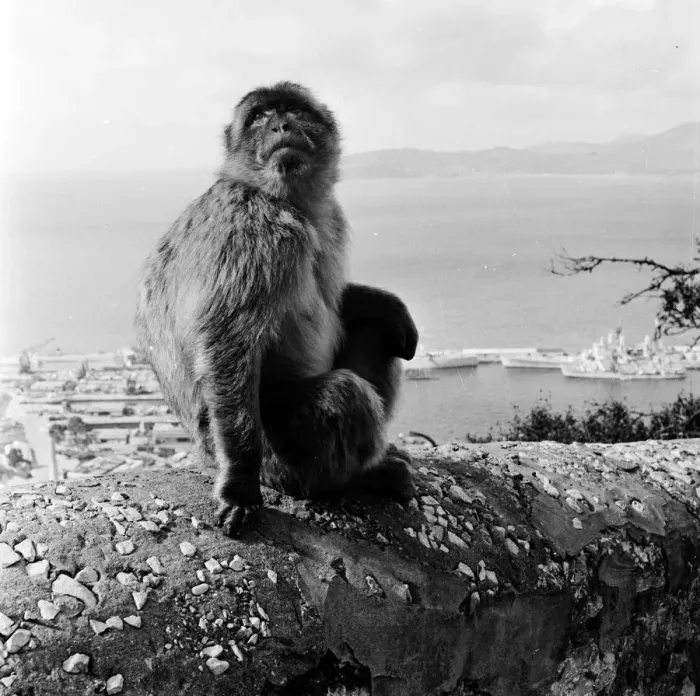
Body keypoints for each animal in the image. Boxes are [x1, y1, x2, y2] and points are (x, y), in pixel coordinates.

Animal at [135, 81, 418, 538]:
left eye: (292, 110)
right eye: (258, 117)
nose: (280, 125)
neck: (286, 200)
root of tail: (203, 452)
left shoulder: (328, 220)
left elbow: (338, 299)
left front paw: (384, 303)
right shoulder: (252, 231)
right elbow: (227, 342)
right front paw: (238, 488)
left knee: (378, 337)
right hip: (280, 455)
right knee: (344, 395)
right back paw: (358, 477)